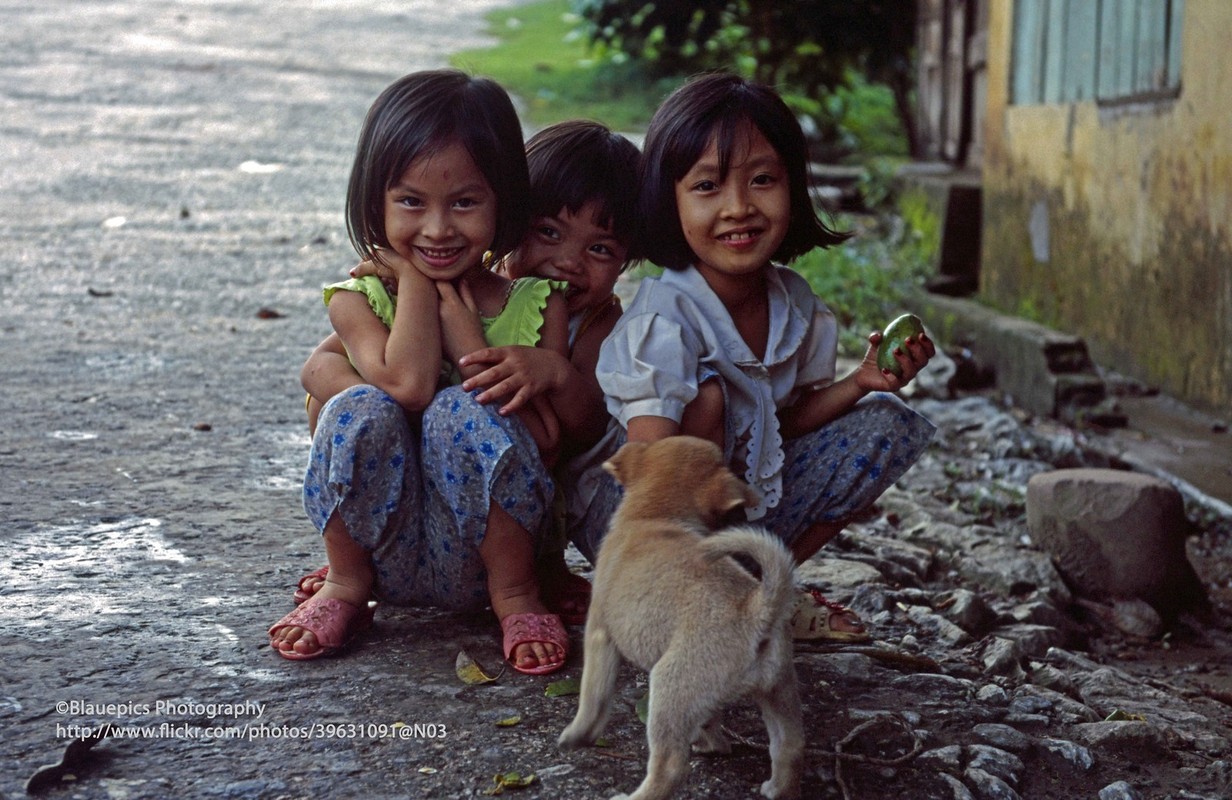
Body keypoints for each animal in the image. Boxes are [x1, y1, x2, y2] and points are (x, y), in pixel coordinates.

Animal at [561, 436, 808, 798]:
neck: (655, 516)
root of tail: (757, 608)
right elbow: (711, 720)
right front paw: (712, 741)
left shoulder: (599, 635)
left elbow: (592, 699)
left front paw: (576, 735)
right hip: (779, 692)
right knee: (789, 747)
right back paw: (776, 787)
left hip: (668, 689)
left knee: (671, 767)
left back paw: (634, 795)